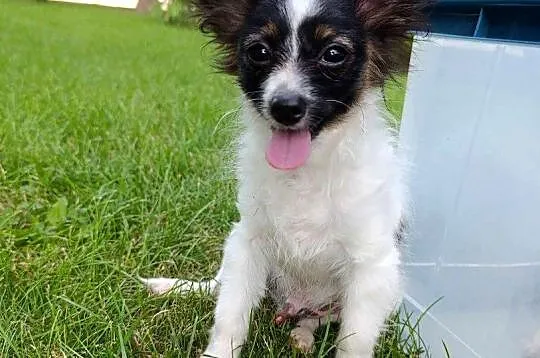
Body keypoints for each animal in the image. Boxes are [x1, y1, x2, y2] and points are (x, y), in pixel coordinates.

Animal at [142, 1, 426, 356]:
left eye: (334, 54)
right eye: (259, 51)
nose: (285, 107)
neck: (307, 168)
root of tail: (294, 305)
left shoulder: (372, 267)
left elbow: (354, 340)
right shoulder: (248, 242)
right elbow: (229, 316)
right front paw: (218, 351)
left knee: (318, 319)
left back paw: (302, 335)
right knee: (219, 287)